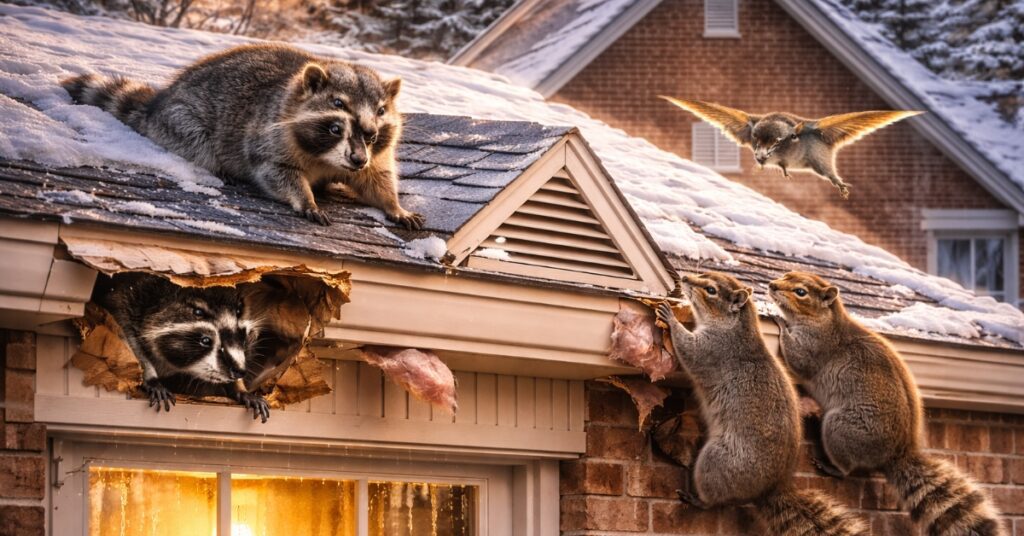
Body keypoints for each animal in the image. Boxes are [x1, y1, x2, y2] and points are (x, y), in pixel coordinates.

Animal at [61, 44, 423, 229]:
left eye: (372, 134)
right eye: (336, 127)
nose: (357, 159)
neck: (328, 159)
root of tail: (159, 103)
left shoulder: (374, 156)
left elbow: (377, 178)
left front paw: (394, 205)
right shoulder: (270, 135)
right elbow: (276, 172)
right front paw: (305, 198)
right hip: (180, 120)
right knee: (198, 142)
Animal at [93, 273, 270, 422]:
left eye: (242, 339)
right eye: (205, 341)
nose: (240, 371)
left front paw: (240, 389)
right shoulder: (122, 301)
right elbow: (127, 338)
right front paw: (149, 375)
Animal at [656, 272, 866, 535]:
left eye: (711, 290)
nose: (684, 277)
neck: (734, 327)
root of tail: (768, 490)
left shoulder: (713, 349)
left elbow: (689, 350)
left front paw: (671, 318)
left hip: (717, 461)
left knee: (715, 497)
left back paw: (697, 499)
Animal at [660, 97, 921, 198]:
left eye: (778, 141)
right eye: (754, 140)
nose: (760, 157)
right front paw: (774, 169)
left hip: (821, 162)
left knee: (830, 174)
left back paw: (840, 186)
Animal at [769, 271, 1005, 536]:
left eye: (801, 292)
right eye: (786, 274)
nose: (772, 285)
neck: (826, 318)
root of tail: (896, 454)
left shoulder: (817, 345)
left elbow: (799, 358)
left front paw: (780, 322)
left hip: (842, 429)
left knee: (846, 467)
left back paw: (834, 467)